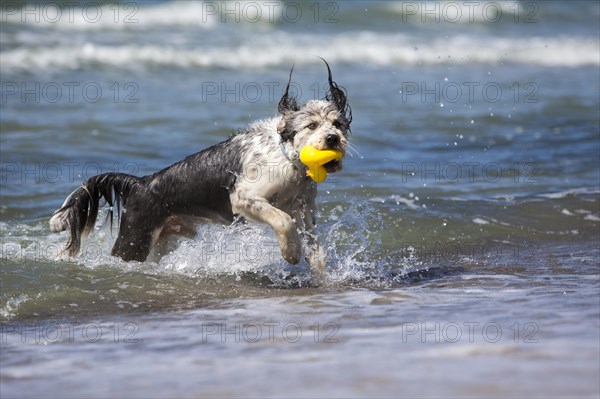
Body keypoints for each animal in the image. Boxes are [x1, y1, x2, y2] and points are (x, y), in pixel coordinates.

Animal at [51, 59, 354, 276]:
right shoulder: (244, 197)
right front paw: (291, 253)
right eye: (311, 125)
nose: (332, 139)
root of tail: (140, 183)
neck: (287, 159)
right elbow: (282, 219)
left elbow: (314, 247)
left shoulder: (304, 210)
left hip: (161, 240)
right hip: (134, 239)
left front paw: (321, 275)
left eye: (337, 124)